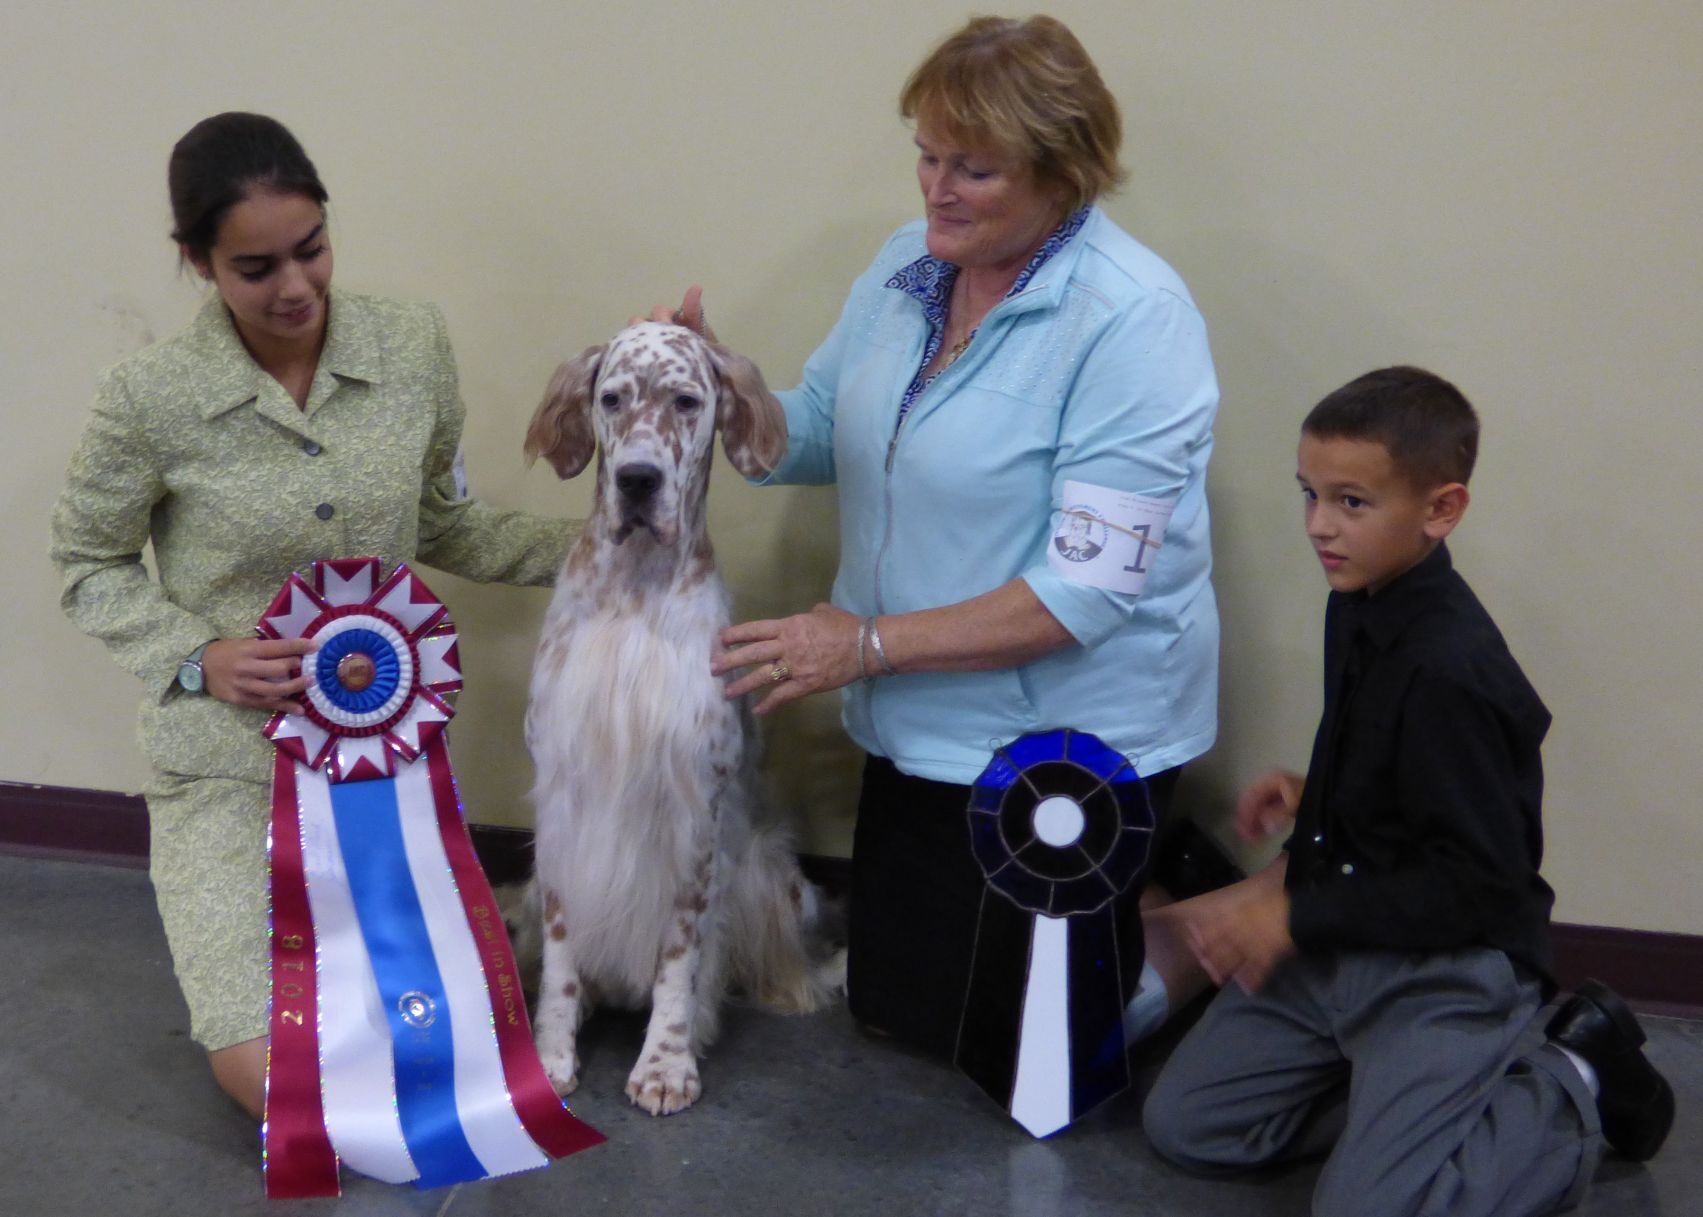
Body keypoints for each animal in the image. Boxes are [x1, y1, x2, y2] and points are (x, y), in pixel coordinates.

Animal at [521, 321, 834, 1116]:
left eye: (687, 401)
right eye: (611, 398)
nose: (637, 480)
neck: (634, 593)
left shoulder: (696, 808)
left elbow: (678, 954)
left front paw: (666, 1061)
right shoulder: (563, 801)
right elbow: (562, 952)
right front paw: (550, 1053)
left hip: (777, 876)